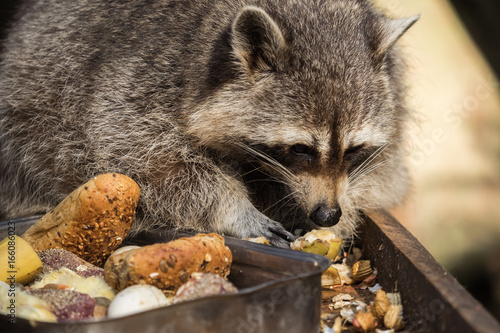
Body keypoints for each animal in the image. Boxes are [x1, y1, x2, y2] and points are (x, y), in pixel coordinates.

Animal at [0, 0, 418, 246]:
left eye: (354, 150)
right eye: (301, 149)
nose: (328, 214)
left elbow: (381, 172)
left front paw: (344, 214)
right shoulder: (141, 79)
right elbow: (142, 154)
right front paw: (234, 209)